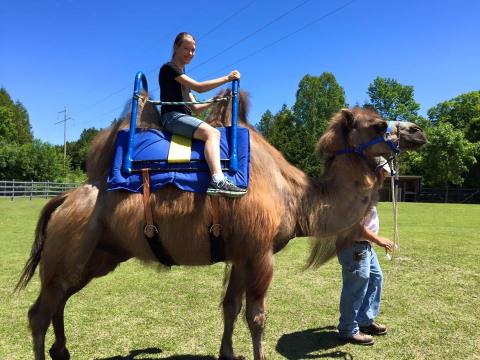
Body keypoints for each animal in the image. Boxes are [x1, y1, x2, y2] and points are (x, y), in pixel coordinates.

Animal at [15, 90, 428, 360]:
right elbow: (256, 315)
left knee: (59, 301)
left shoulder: (242, 255)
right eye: (376, 123)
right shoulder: (261, 254)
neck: (297, 198)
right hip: (69, 254)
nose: (418, 131)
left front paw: (228, 354)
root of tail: (65, 198)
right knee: (39, 312)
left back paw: (62, 351)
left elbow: (230, 306)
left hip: (95, 257)